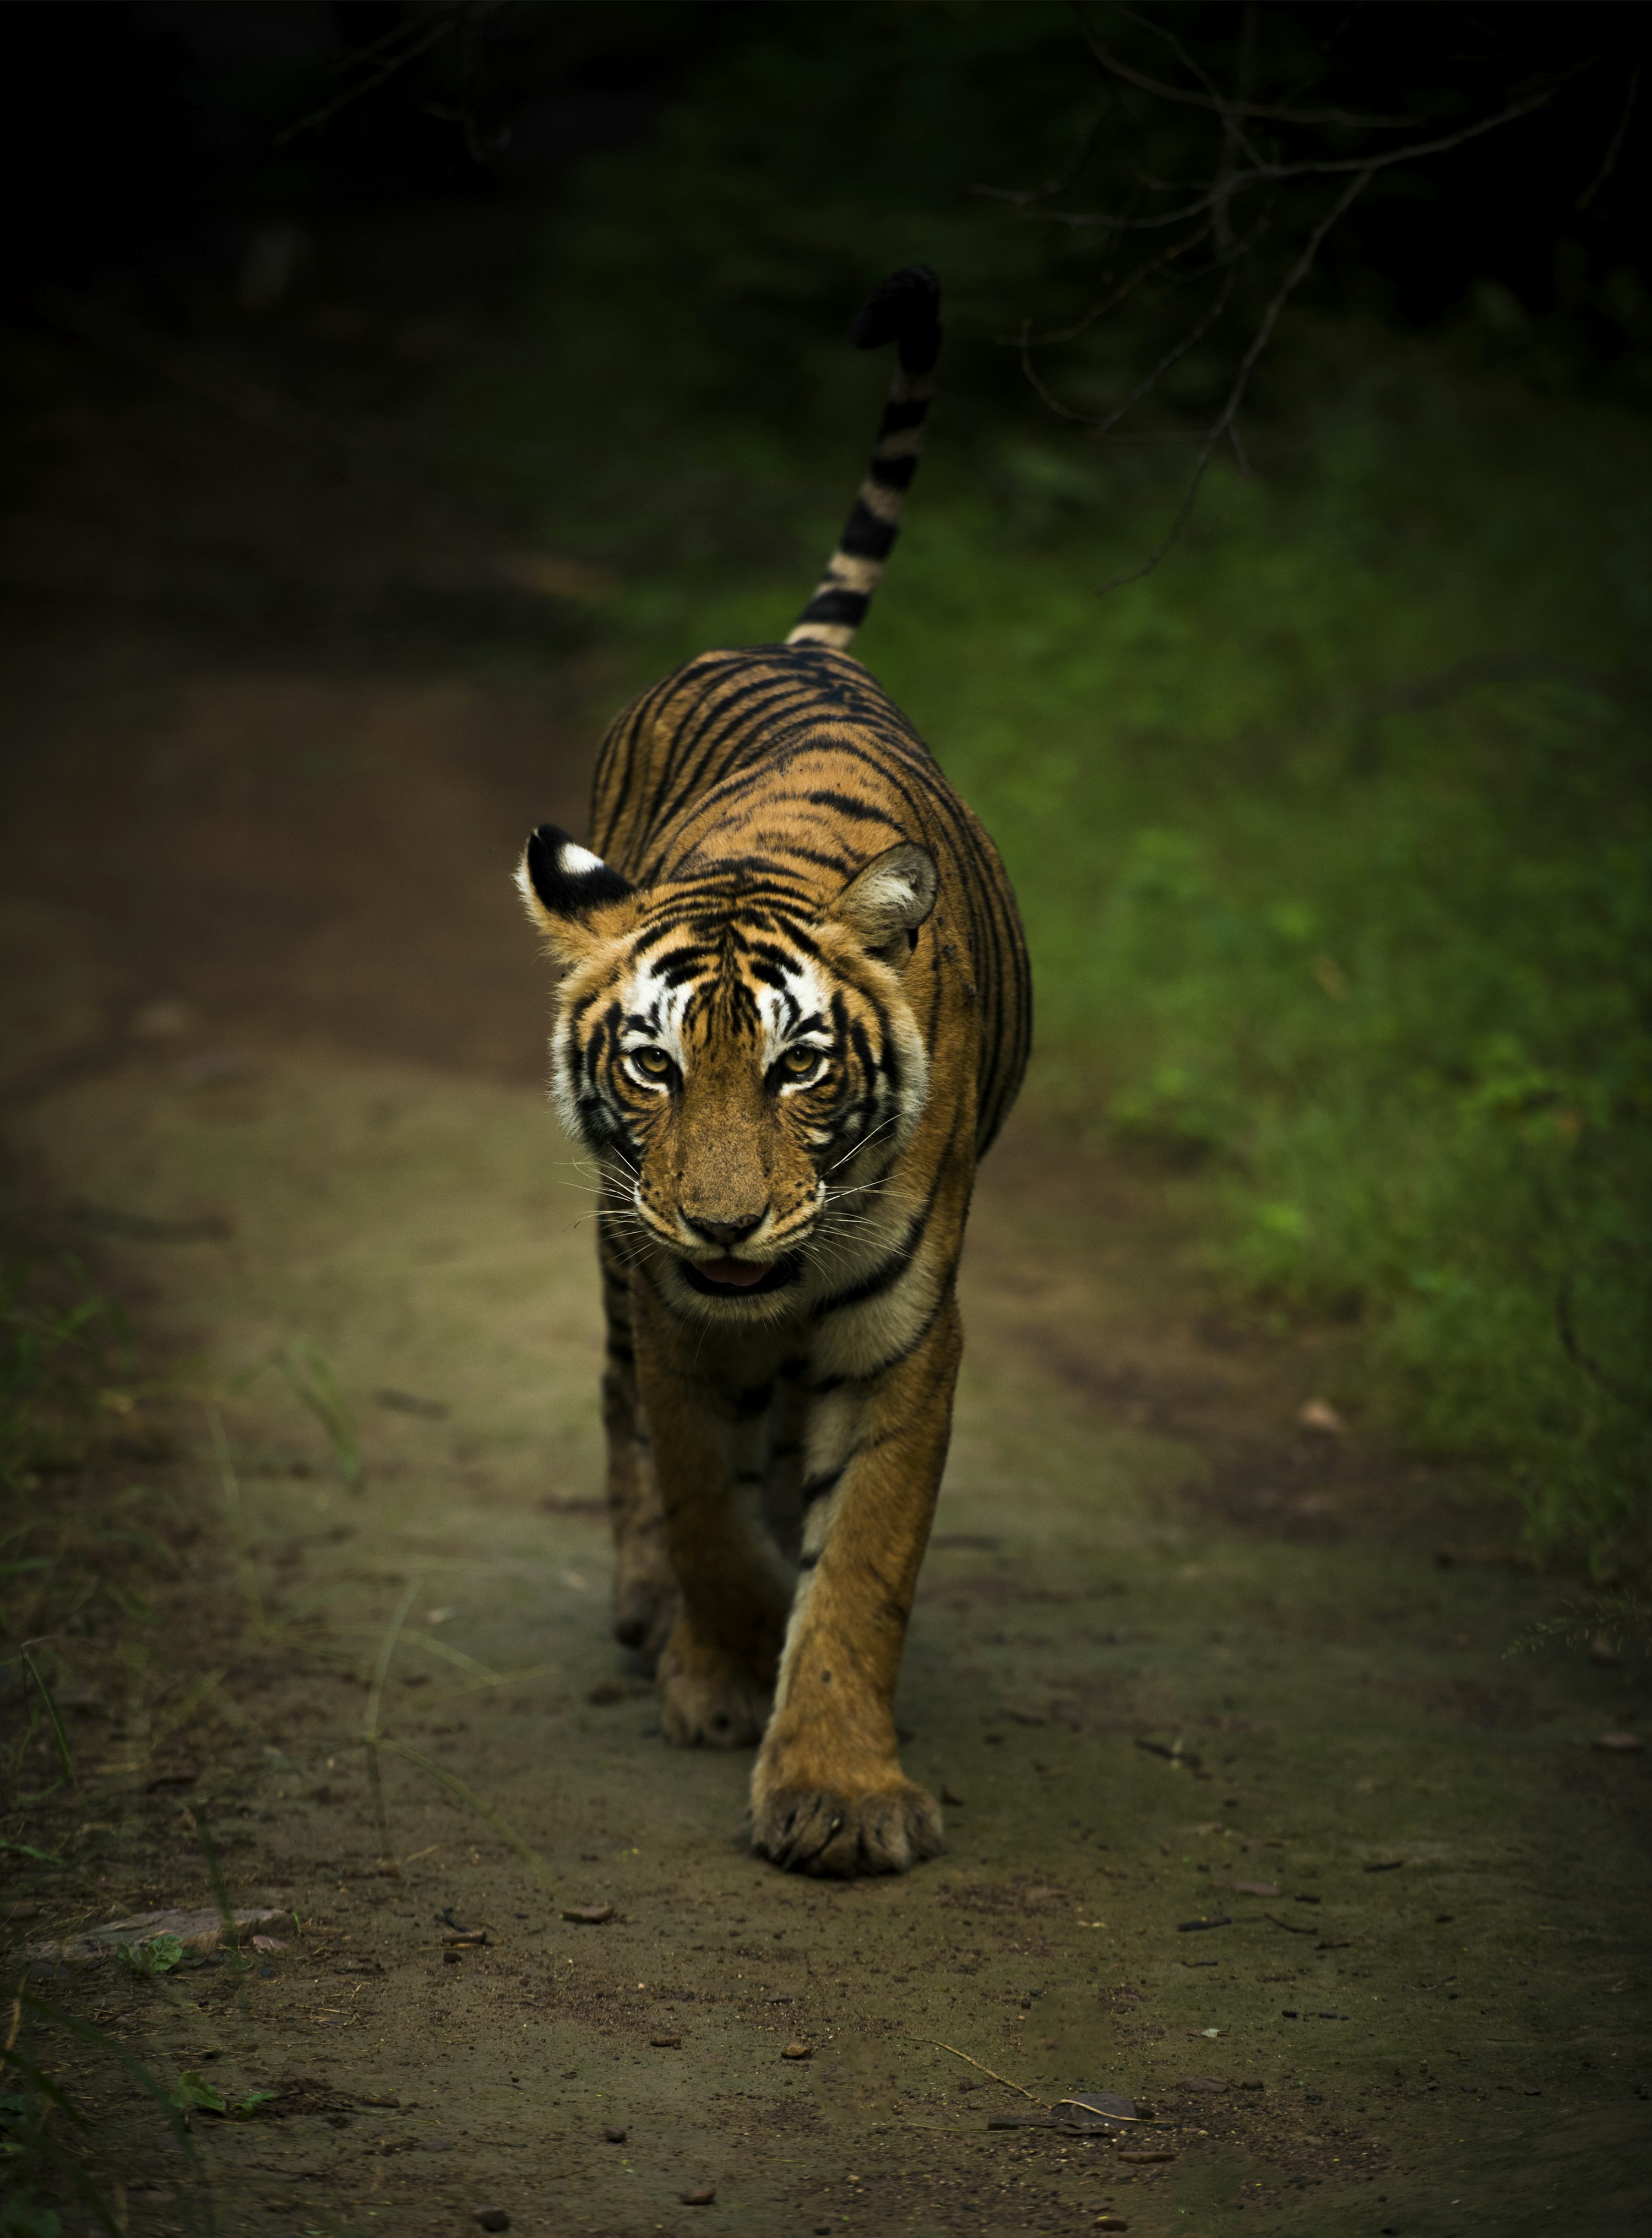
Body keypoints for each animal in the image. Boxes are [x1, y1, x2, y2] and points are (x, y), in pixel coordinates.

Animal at [517, 266, 1030, 1877]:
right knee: (620, 1408)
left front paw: (838, 1788)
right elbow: (700, 1494)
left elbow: (861, 1557)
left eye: (805, 1066)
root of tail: (797, 648)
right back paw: (648, 1609)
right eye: (653, 1067)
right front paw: (723, 1662)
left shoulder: (908, 1331)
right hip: (613, 1248)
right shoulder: (674, 1301)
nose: (728, 1222)